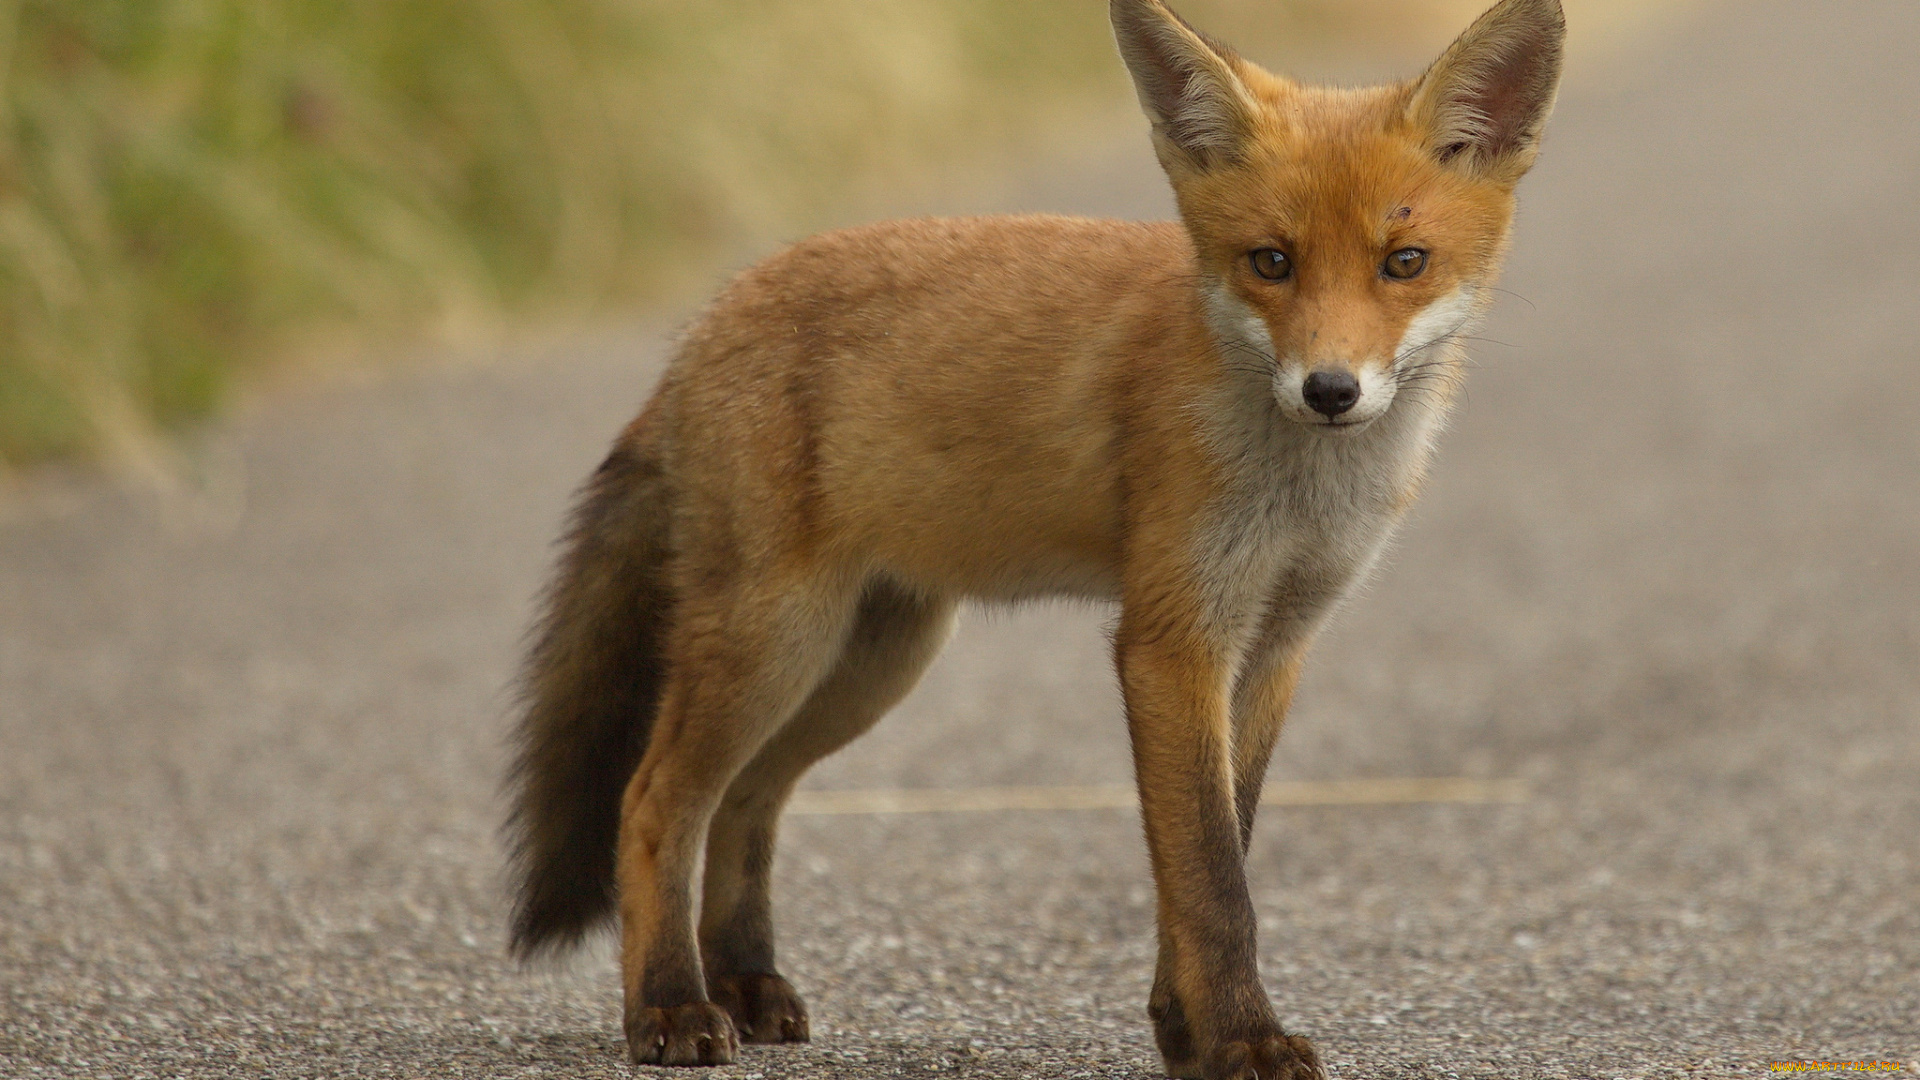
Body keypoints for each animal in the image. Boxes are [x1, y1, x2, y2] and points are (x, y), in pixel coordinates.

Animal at [506, 0, 1559, 1068]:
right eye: (1272, 262)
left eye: (1403, 263)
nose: (1331, 390)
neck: (1301, 488)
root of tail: (700, 330)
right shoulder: (1172, 642)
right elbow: (1213, 881)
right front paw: (1243, 1041)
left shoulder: (1275, 644)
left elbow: (1219, 852)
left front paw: (1183, 1029)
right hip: (775, 641)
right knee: (653, 803)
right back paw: (670, 1007)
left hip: (868, 662)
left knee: (747, 800)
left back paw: (748, 983)